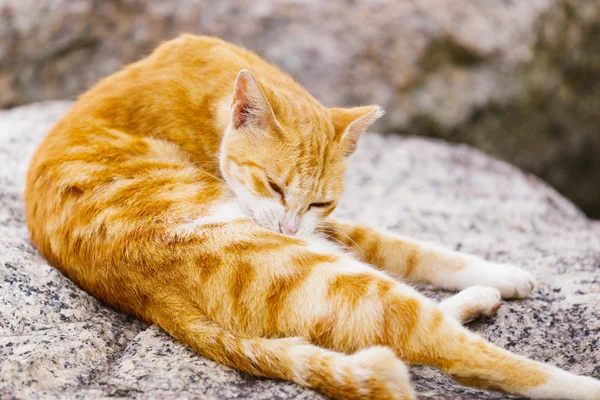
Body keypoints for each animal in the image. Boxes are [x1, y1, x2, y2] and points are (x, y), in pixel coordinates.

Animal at [25, 35, 600, 400]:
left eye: (319, 201)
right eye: (274, 184)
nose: (285, 226)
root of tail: (152, 300)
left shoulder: (324, 226)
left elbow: (407, 247)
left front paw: (499, 272)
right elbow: (401, 248)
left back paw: (482, 296)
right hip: (331, 277)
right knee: (446, 349)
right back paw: (577, 384)